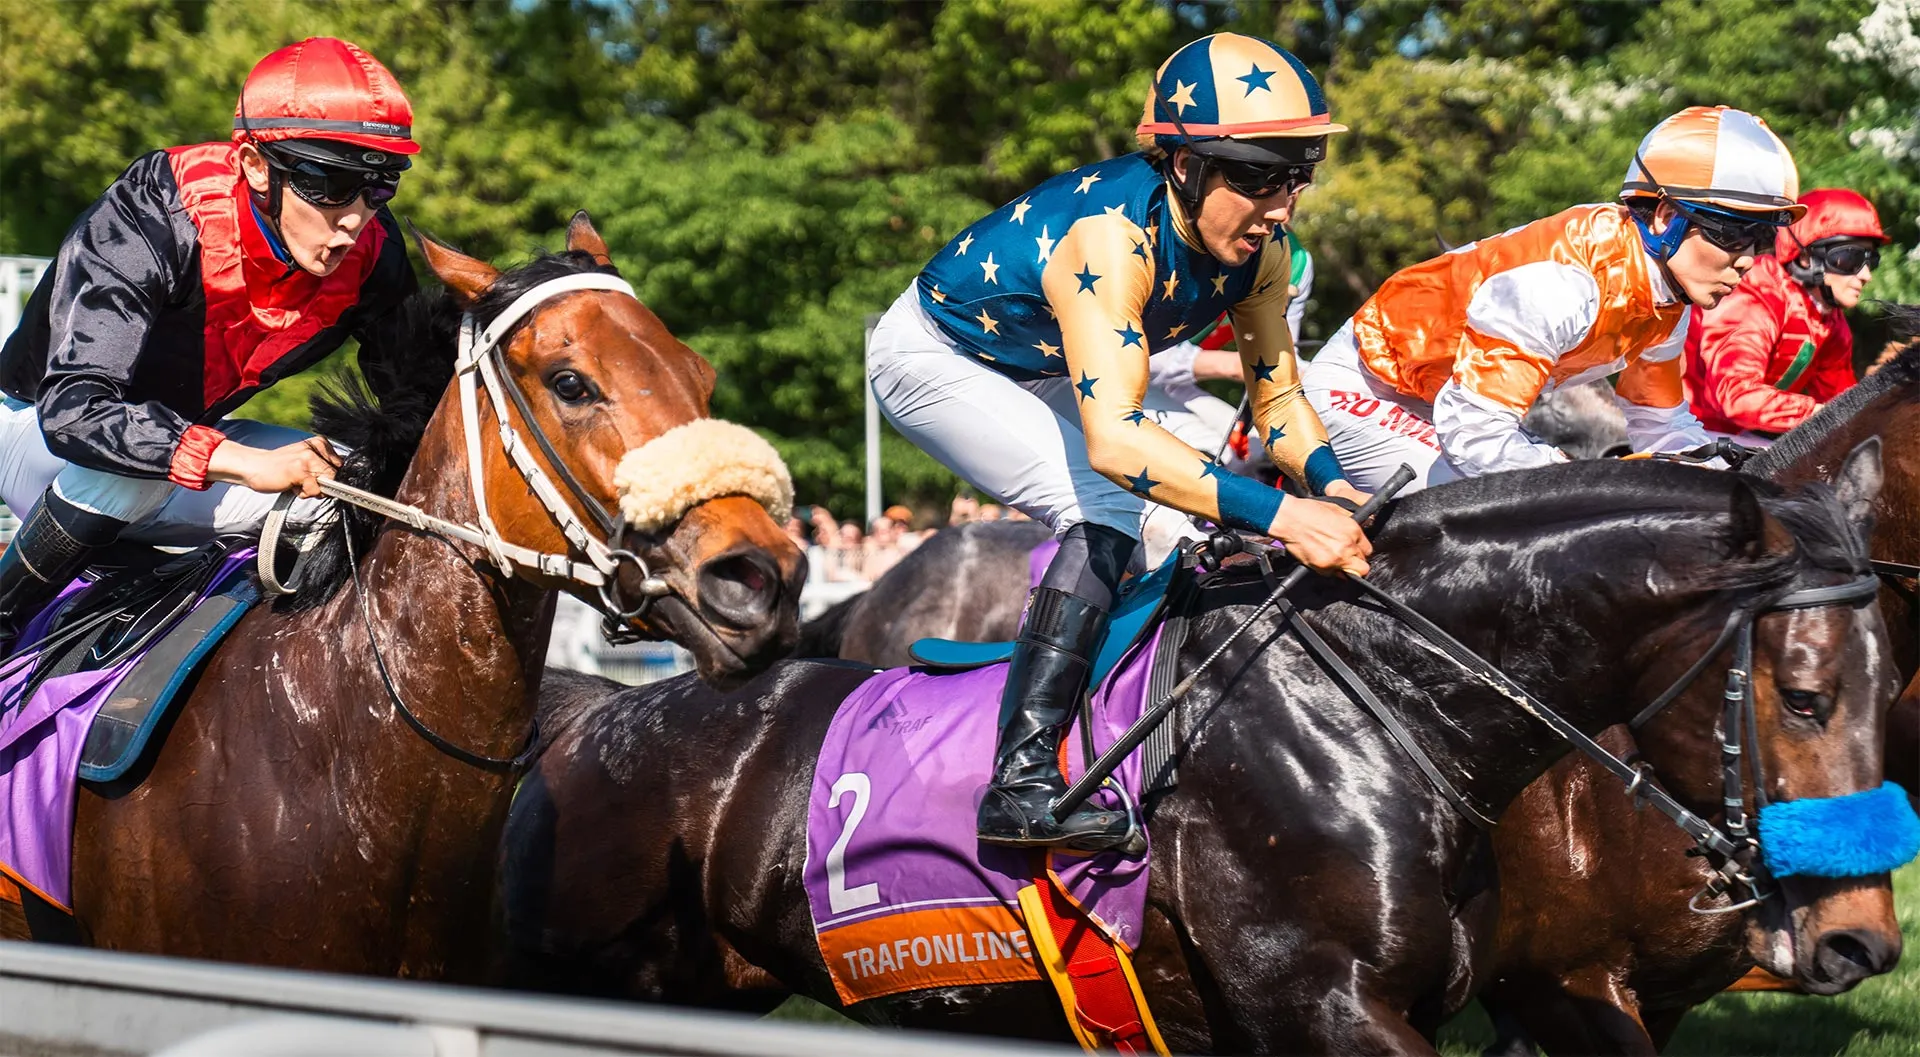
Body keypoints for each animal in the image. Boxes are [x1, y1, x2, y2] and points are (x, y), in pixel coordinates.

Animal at [498, 454, 1900, 1054]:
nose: (1862, 942)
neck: (1381, 713)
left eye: (1896, 691)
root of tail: (589, 718)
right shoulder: (1323, 1001)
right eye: (1805, 693)